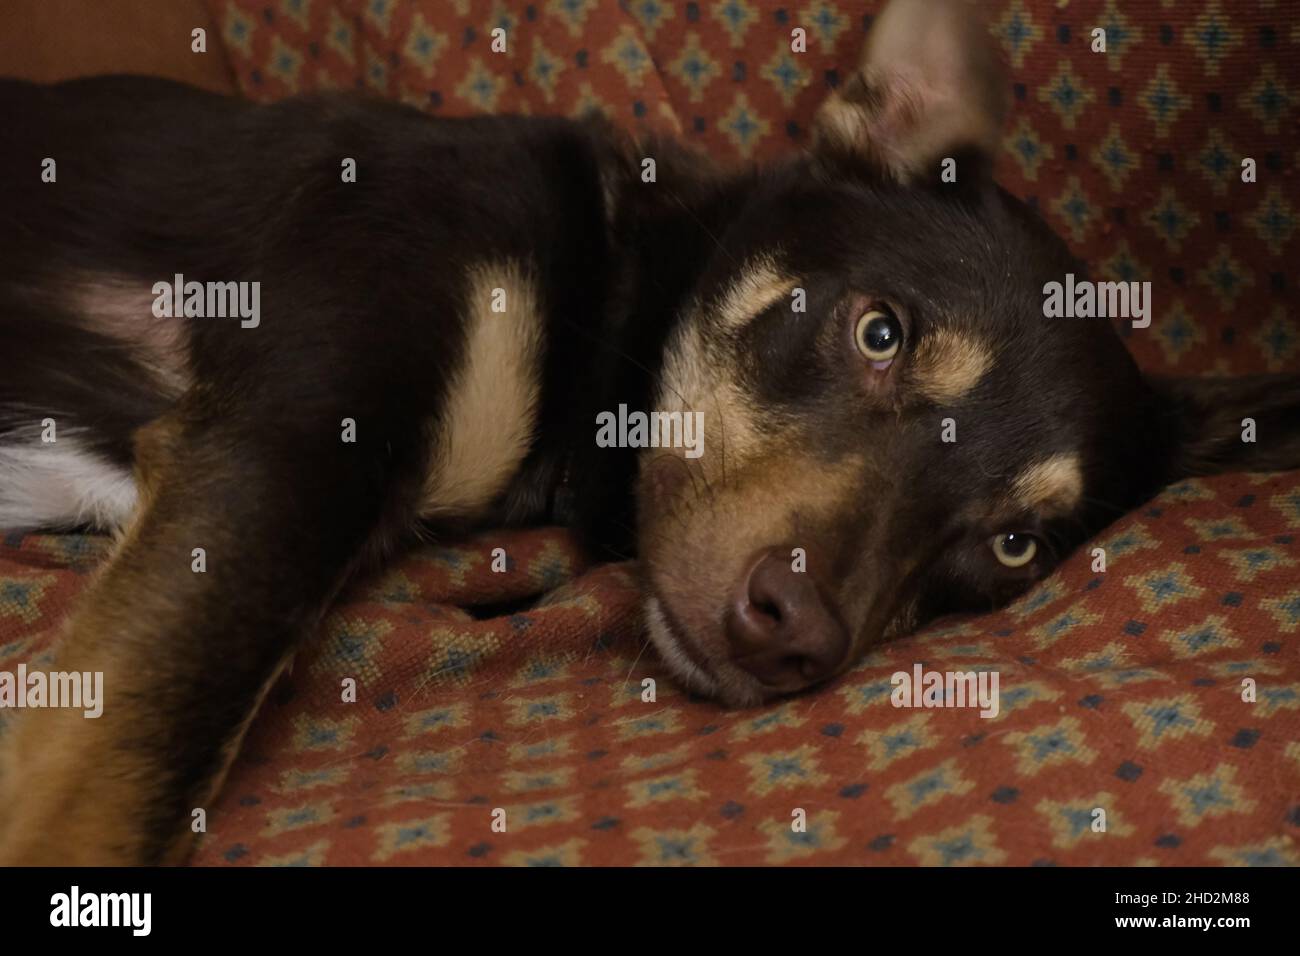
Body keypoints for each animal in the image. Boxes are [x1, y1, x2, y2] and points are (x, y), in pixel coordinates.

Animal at [0, 1, 1294, 868]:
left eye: (1016, 545)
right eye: (879, 332)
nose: (794, 635)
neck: (606, 280)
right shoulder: (290, 445)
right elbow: (106, 772)